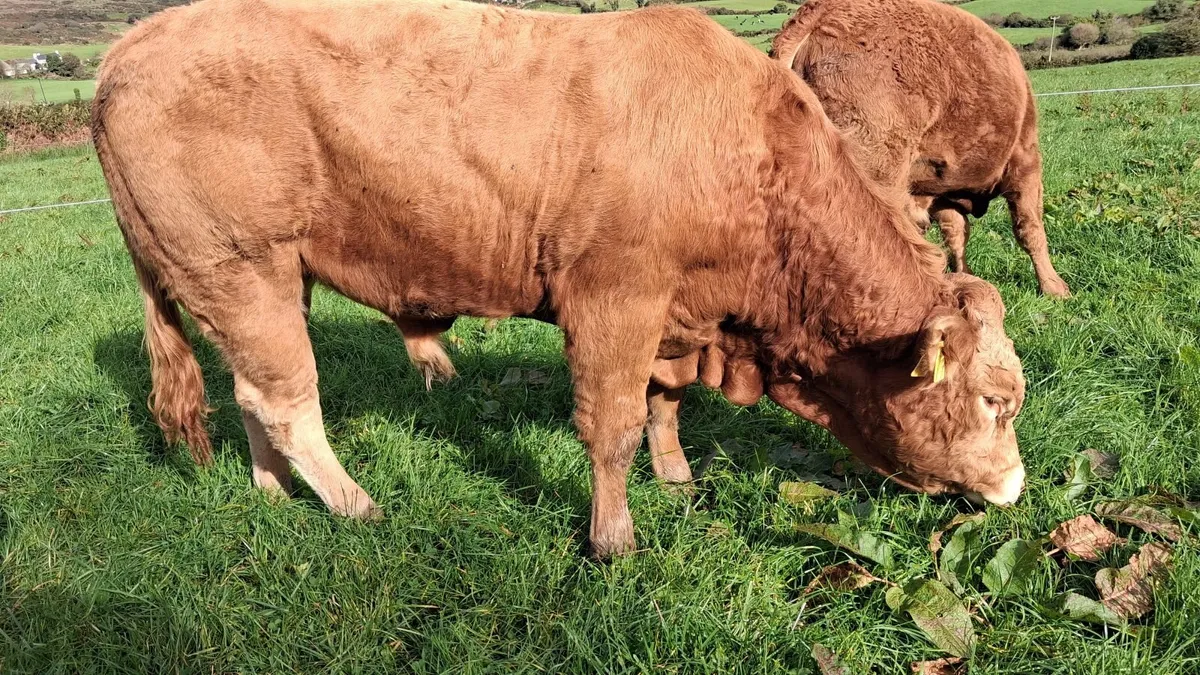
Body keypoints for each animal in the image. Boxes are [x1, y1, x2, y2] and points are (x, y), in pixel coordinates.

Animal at [93, 0, 1027, 559]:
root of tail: (131, 47)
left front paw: (677, 476)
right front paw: (614, 537)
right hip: (238, 267)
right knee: (286, 402)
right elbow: (611, 425)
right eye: (995, 400)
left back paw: (275, 495)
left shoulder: (673, 313)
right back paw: (356, 505)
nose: (1016, 485)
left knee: (250, 395)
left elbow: (663, 400)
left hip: (266, 279)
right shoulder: (615, 299)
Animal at [772, 0, 1071, 297]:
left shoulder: (939, 192)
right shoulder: (1025, 161)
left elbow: (956, 233)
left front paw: (966, 277)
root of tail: (819, 14)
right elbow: (1029, 227)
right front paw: (1054, 288)